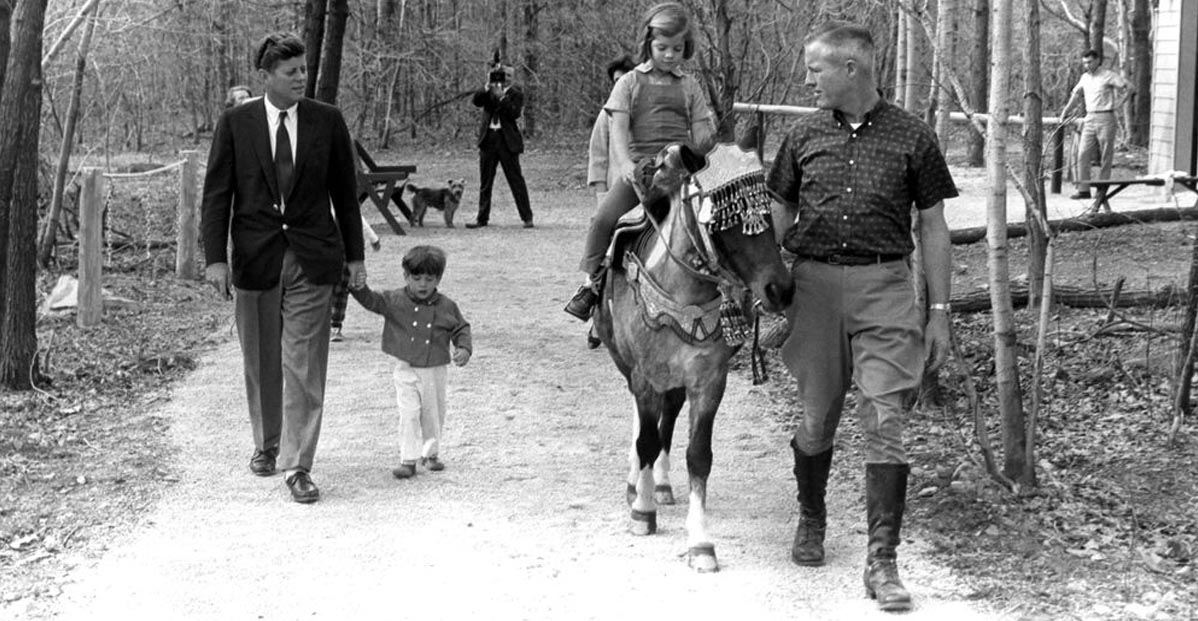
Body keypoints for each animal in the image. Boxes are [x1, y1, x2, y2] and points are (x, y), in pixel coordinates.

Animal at [591, 136, 795, 575]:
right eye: (722, 218)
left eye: (768, 212)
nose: (780, 289)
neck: (681, 296)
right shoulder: (645, 375)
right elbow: (646, 440)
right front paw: (642, 511)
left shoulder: (708, 380)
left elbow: (697, 455)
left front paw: (700, 542)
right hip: (629, 366)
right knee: (644, 427)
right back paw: (637, 483)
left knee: (667, 421)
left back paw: (663, 484)